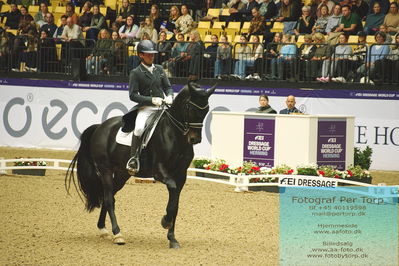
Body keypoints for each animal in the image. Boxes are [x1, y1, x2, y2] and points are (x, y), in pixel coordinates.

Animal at [66, 82, 216, 248]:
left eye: (206, 109)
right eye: (190, 107)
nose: (195, 139)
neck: (175, 136)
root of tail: (100, 126)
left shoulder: (181, 175)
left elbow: (175, 204)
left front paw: (172, 238)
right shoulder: (160, 172)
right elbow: (172, 191)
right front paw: (165, 221)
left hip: (122, 173)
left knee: (109, 196)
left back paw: (103, 229)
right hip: (105, 169)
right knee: (109, 199)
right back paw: (117, 234)